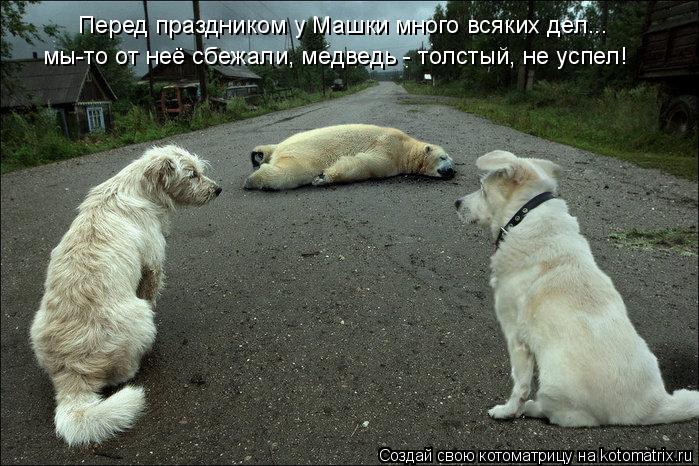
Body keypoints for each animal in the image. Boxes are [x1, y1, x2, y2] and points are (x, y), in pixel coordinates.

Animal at [244, 124, 455, 190]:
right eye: (443, 157)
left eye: (453, 162)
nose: (451, 171)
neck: (407, 147)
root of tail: (281, 148)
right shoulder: (389, 147)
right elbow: (366, 163)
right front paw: (322, 177)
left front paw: (323, 177)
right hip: (302, 155)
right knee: (291, 172)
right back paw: (252, 179)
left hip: (282, 145)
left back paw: (259, 155)